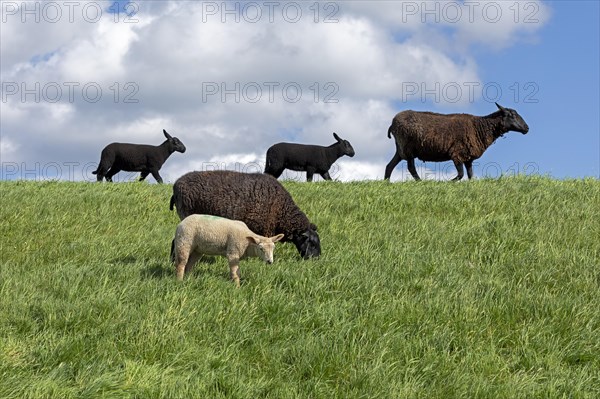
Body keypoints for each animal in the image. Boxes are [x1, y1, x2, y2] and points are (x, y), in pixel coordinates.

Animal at [384, 103, 528, 181]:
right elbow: (460, 174)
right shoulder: (457, 154)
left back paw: (387, 182)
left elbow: (470, 175)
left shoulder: (468, 158)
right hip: (408, 148)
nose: (527, 128)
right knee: (411, 167)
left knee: (389, 166)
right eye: (512, 115)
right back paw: (420, 182)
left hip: (400, 149)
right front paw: (447, 182)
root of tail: (392, 124)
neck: (480, 127)